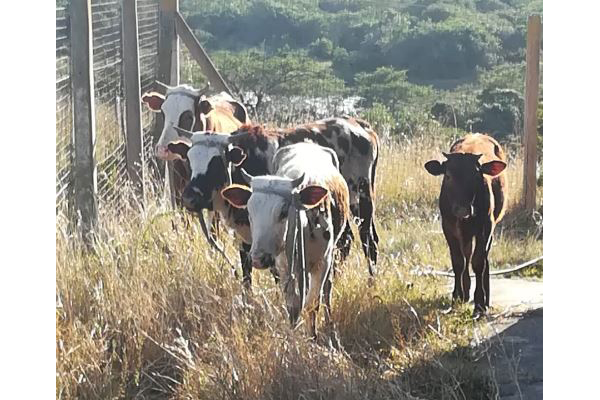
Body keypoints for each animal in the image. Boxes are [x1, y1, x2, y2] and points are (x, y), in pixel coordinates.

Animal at [220, 141, 352, 340]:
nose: (258, 259)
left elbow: (313, 303)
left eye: (283, 212)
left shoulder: (323, 262)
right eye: (249, 211)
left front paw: (313, 337)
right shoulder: (283, 265)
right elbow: (293, 304)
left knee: (326, 290)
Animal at [424, 134, 508, 316]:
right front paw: (457, 296)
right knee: (466, 254)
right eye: (448, 176)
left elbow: (479, 262)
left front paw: (480, 303)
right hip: (464, 232)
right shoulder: (448, 226)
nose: (462, 209)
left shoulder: (486, 226)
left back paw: (485, 297)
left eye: (477, 176)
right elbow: (458, 262)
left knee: (482, 257)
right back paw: (465, 291)